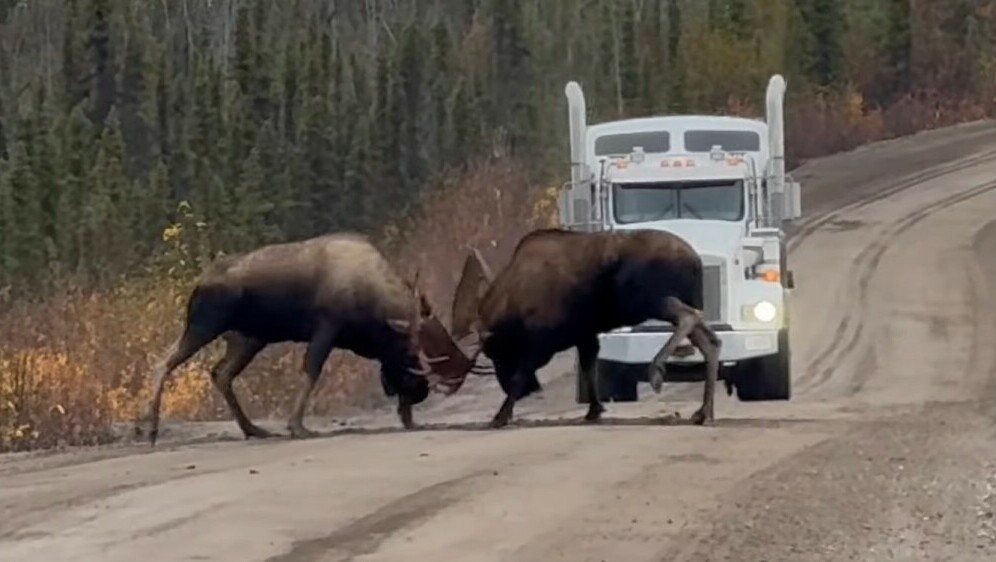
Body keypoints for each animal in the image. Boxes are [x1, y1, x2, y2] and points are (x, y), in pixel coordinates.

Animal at [142, 231, 468, 442]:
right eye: (409, 352)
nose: (420, 392)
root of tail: (199, 283)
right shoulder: (327, 327)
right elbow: (311, 370)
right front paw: (296, 426)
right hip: (205, 324)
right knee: (163, 362)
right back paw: (150, 429)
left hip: (248, 338)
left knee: (220, 373)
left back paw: (252, 429)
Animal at [442, 225, 716, 426]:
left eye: (498, 353)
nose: (531, 390)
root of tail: (695, 260)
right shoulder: (584, 335)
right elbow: (588, 369)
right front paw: (594, 410)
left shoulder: (540, 344)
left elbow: (521, 374)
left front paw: (501, 415)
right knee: (710, 339)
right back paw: (704, 411)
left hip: (652, 299)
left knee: (689, 318)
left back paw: (658, 371)